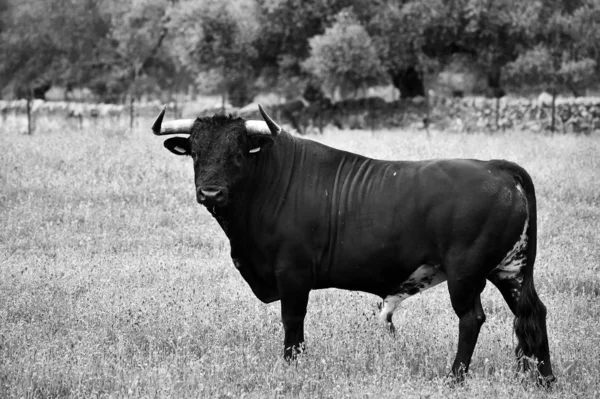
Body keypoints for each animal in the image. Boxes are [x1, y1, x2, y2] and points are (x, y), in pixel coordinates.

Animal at [150, 105, 552, 384]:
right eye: (195, 152)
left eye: (237, 151)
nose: (210, 192)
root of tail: (496, 167)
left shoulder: (292, 273)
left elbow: (292, 322)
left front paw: (292, 366)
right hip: (512, 270)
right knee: (532, 313)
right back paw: (543, 379)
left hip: (465, 274)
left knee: (472, 319)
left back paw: (455, 377)